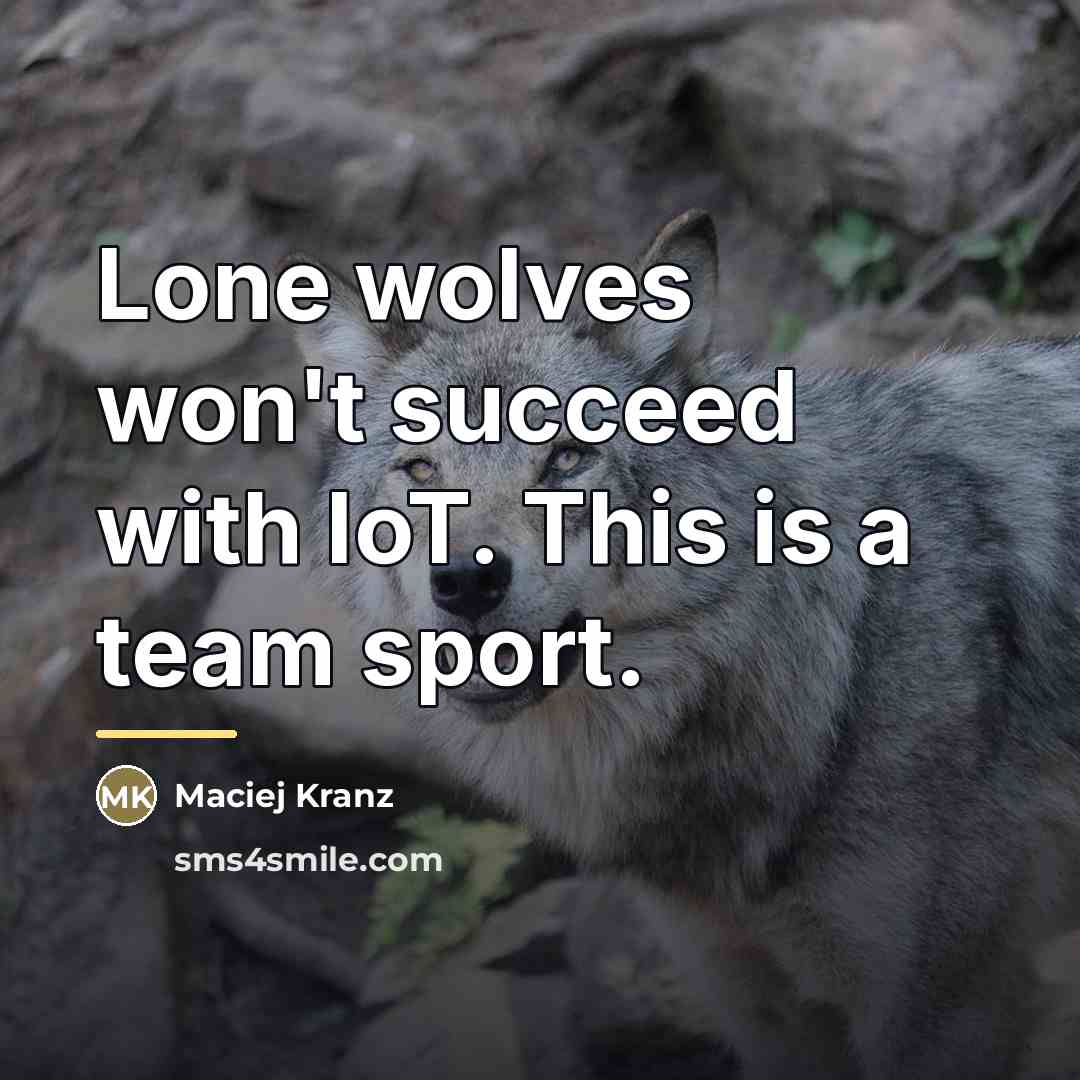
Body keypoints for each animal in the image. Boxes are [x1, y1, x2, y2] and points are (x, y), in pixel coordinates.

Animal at [292, 211, 1080, 1079]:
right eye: (420, 469)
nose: (466, 581)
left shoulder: (948, 1011)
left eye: (567, 457)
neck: (841, 664)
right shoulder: (758, 1004)